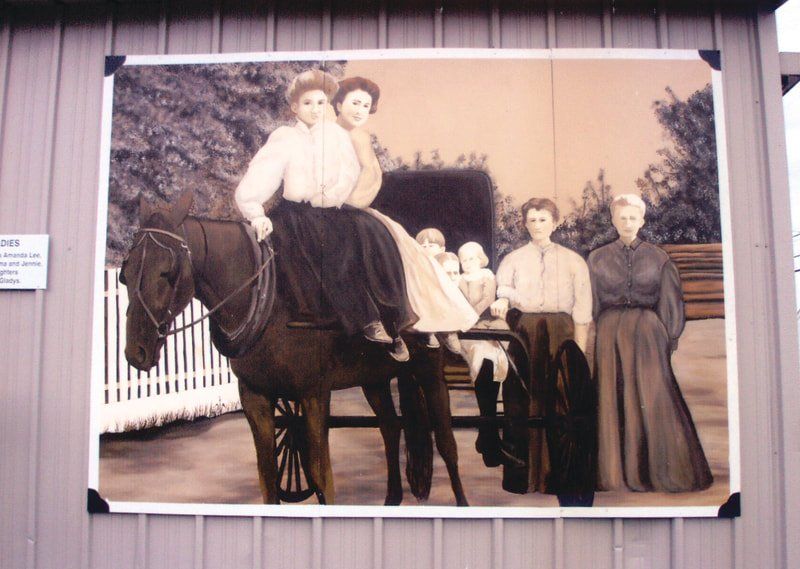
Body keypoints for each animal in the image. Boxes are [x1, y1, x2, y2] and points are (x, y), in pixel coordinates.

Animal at [119, 192, 468, 506]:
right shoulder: (256, 397)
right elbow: (268, 475)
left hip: (429, 371)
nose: (136, 351)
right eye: (126, 272)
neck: (268, 298)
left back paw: (462, 501)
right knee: (391, 428)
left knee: (446, 441)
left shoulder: (314, 394)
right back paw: (392, 498)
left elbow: (321, 475)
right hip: (374, 378)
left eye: (167, 272)